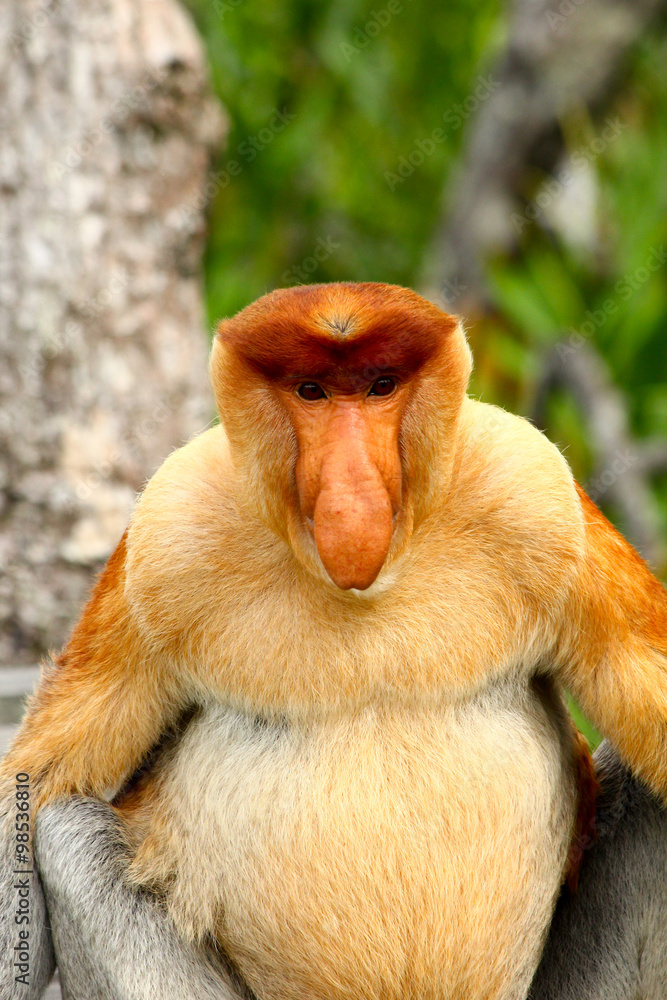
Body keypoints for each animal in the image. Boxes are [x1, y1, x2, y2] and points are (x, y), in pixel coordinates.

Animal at [1, 281, 667, 1000]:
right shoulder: (166, 534)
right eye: (311, 391)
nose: (351, 493)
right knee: (64, 829)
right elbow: (35, 784)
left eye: (380, 386)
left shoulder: (536, 493)